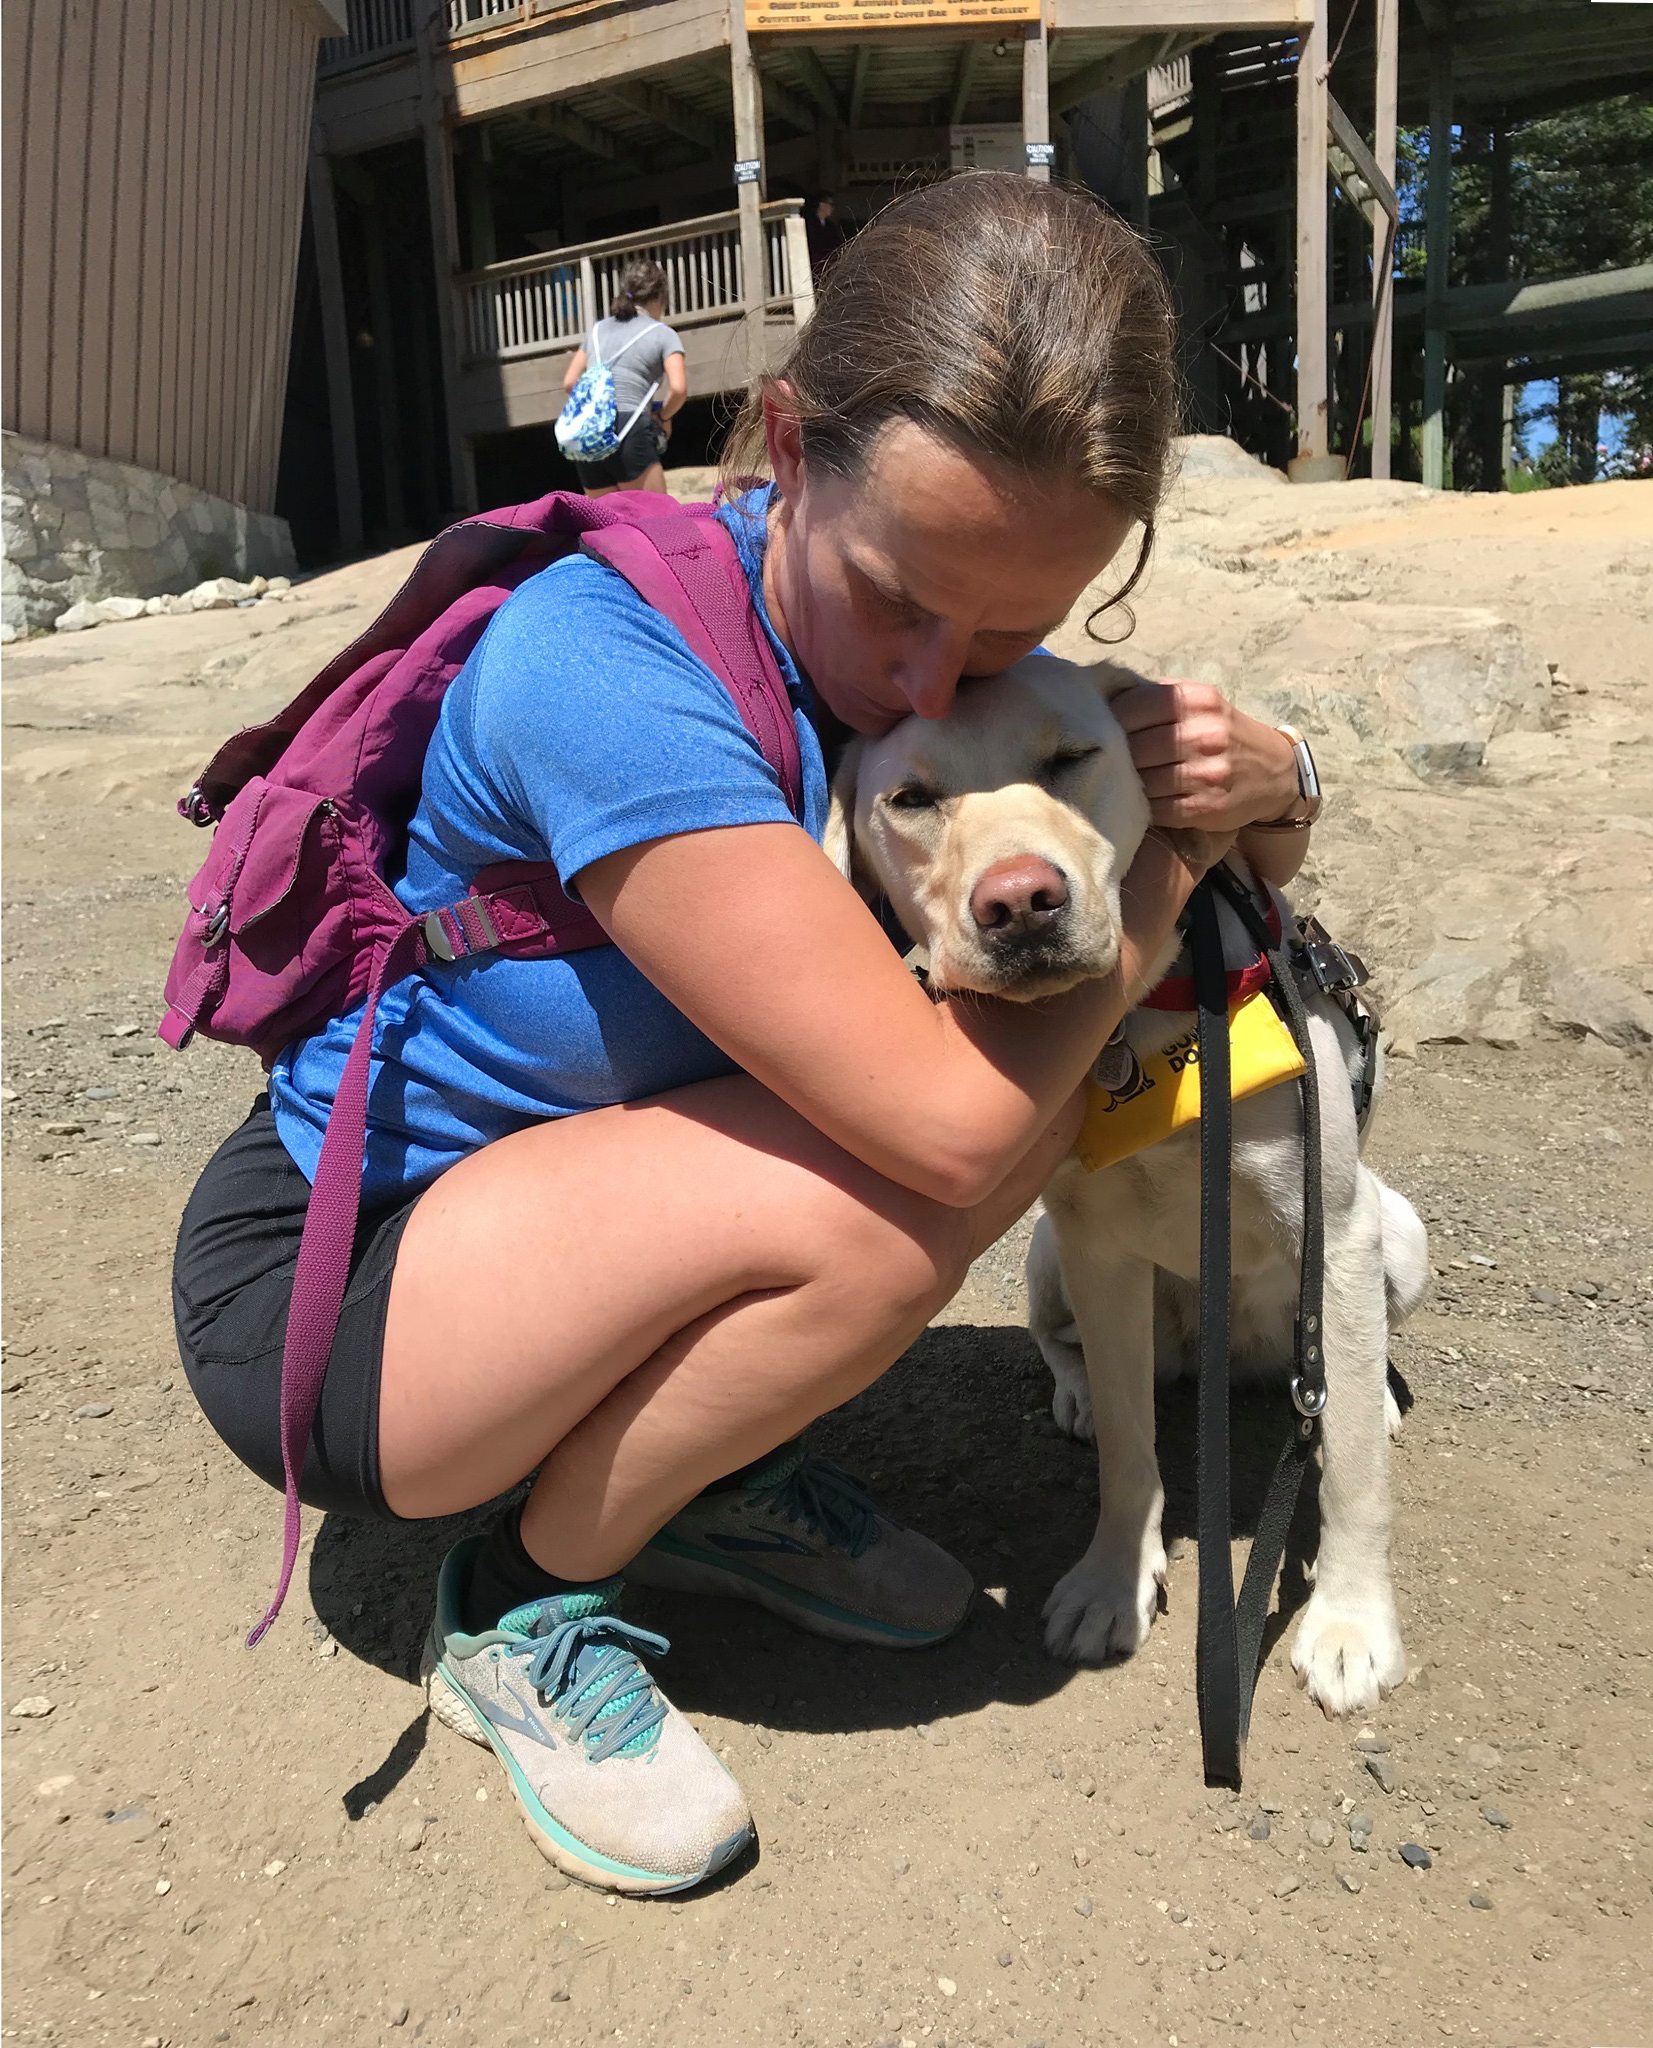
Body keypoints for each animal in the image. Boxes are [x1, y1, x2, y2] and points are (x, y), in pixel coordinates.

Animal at [835, 655, 1425, 1712]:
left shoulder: (1336, 1235)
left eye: (1072, 756)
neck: (1141, 1030)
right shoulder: (1096, 1252)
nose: (1019, 902)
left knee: (1346, 1378)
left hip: (1397, 1233)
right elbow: (1126, 1449)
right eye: (910, 800)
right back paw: (1071, 1395)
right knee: (1065, 1350)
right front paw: (1114, 1584)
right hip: (1047, 1259)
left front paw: (1353, 1624)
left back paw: (1377, 1391)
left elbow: (1353, 1468)